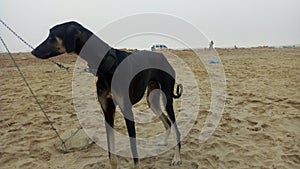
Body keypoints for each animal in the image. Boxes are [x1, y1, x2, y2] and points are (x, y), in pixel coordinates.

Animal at [32, 21, 183, 169]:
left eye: (52, 37)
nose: (33, 52)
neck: (108, 66)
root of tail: (163, 57)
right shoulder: (108, 112)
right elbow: (111, 155)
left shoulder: (127, 111)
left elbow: (134, 152)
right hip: (151, 100)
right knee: (167, 122)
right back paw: (164, 143)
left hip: (167, 97)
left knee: (176, 128)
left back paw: (177, 158)